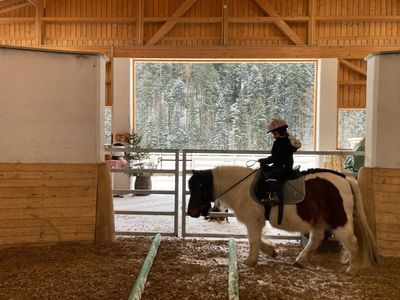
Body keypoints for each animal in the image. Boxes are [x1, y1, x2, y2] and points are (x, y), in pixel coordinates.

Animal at [188, 165, 378, 274]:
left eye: (198, 186)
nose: (191, 212)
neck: (242, 187)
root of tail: (344, 179)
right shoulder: (255, 223)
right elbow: (256, 240)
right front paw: (271, 251)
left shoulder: (253, 222)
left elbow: (253, 240)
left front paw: (250, 261)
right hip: (318, 221)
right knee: (316, 239)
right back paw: (301, 260)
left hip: (339, 221)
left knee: (351, 241)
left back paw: (353, 269)